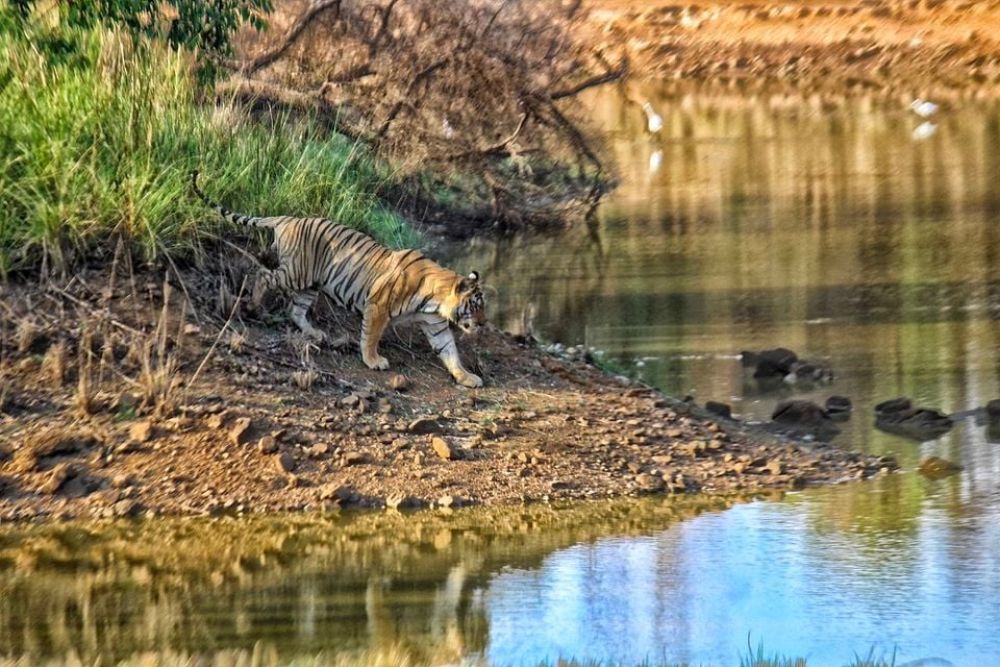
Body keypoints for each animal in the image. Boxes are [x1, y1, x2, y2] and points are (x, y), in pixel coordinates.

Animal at [189, 172, 486, 388]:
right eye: (475, 305)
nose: (483, 324)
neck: (435, 302)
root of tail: (286, 219)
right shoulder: (378, 306)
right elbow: (371, 336)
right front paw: (373, 361)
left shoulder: (436, 326)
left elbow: (450, 352)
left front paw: (467, 377)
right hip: (296, 273)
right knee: (261, 274)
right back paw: (253, 305)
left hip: (310, 284)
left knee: (295, 310)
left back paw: (313, 332)